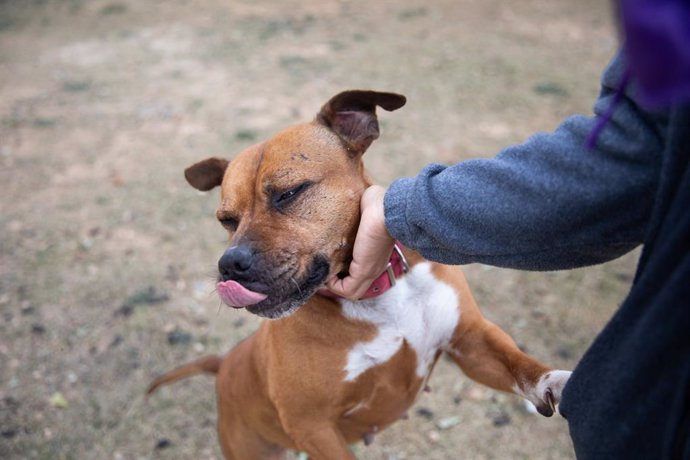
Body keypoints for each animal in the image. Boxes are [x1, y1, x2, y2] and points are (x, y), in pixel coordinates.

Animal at [146, 90, 568, 460]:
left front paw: (557, 383)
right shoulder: (313, 427)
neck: (380, 295)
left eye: (289, 193)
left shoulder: (470, 342)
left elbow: (519, 365)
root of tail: (224, 363)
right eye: (226, 220)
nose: (229, 264)